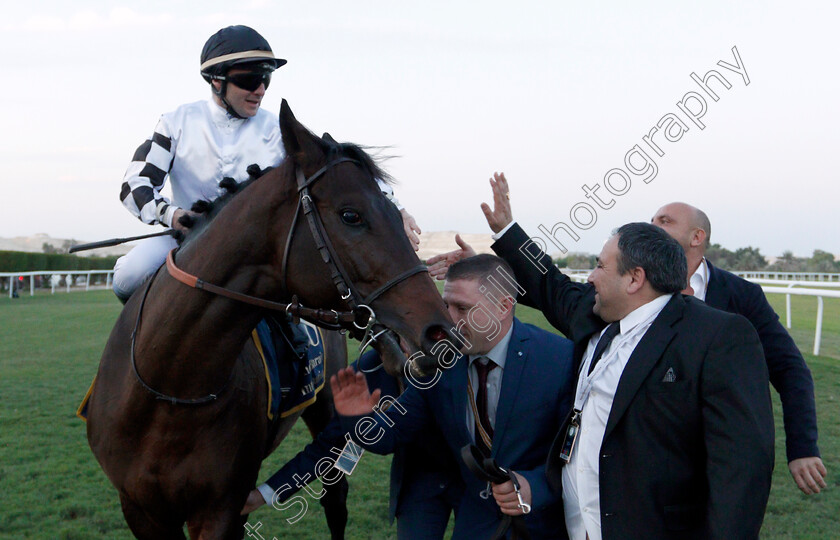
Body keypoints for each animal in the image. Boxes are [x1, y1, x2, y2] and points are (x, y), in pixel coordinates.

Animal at [85, 100, 456, 536]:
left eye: (400, 219)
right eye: (351, 215)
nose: (439, 331)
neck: (170, 389)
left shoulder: (219, 508)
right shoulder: (140, 509)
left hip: (325, 407)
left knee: (335, 496)